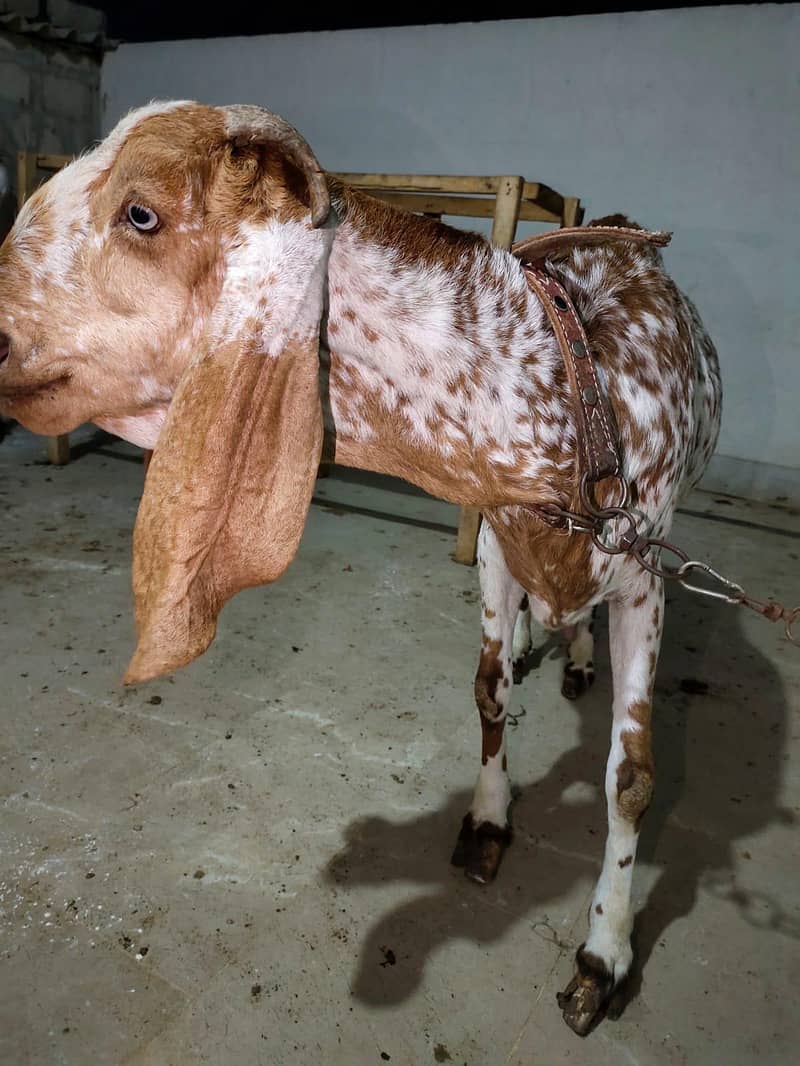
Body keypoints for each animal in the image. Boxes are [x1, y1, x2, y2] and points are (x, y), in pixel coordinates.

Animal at [0, 102, 721, 1036]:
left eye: (140, 213)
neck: (576, 390)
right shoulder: (499, 542)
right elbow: (489, 689)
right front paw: (487, 821)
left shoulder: (646, 573)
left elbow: (630, 778)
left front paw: (604, 955)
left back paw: (578, 655)